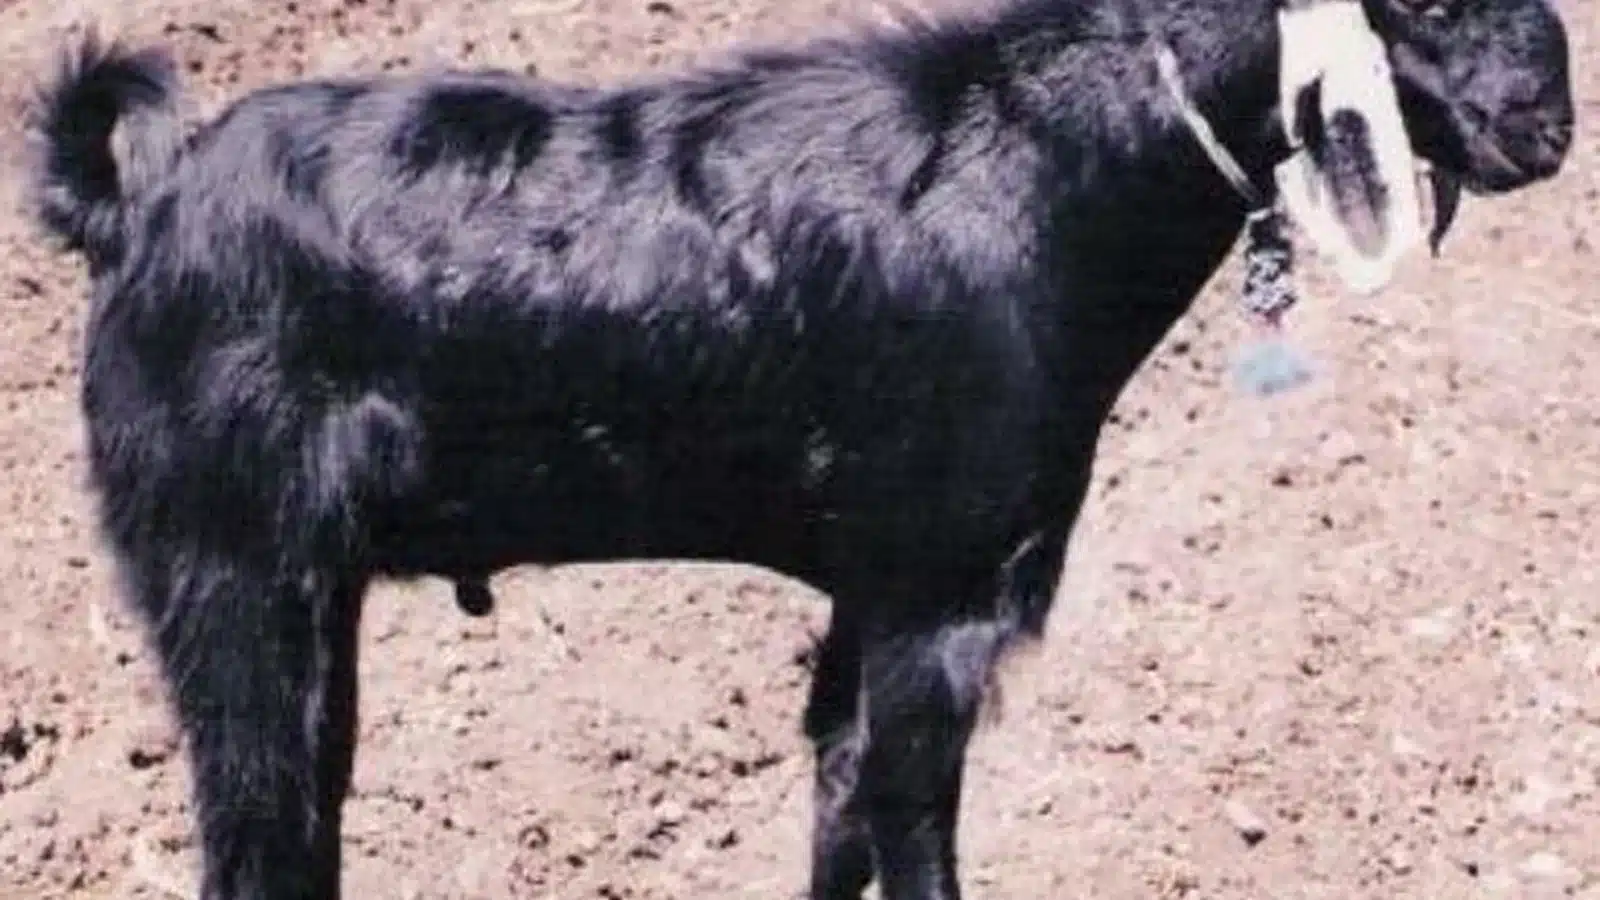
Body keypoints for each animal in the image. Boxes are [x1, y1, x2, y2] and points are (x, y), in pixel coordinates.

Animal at [26, 0, 1574, 897]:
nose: (1545, 124)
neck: (1046, 162)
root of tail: (140, 206)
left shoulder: (871, 599)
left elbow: (839, 810)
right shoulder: (943, 594)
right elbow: (915, 833)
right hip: (231, 581)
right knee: (255, 827)